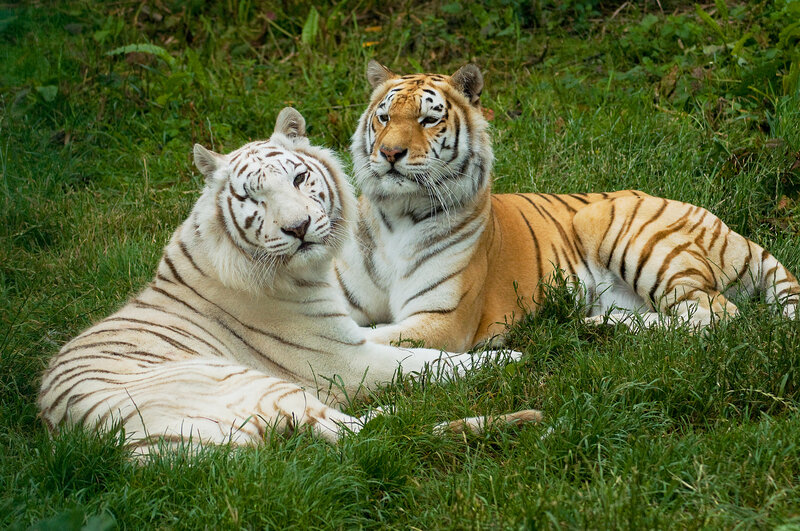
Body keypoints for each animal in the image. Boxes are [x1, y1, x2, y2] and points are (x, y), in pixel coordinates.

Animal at [38, 107, 539, 455]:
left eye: (299, 178)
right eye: (252, 197)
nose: (297, 228)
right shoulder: (342, 359)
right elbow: (427, 360)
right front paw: (507, 356)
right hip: (255, 383)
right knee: (364, 433)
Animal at [335, 61, 799, 352]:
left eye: (429, 120)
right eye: (384, 117)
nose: (389, 153)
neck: (397, 215)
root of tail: (728, 227)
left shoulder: (441, 319)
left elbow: (364, 338)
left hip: (610, 223)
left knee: (718, 314)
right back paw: (596, 325)